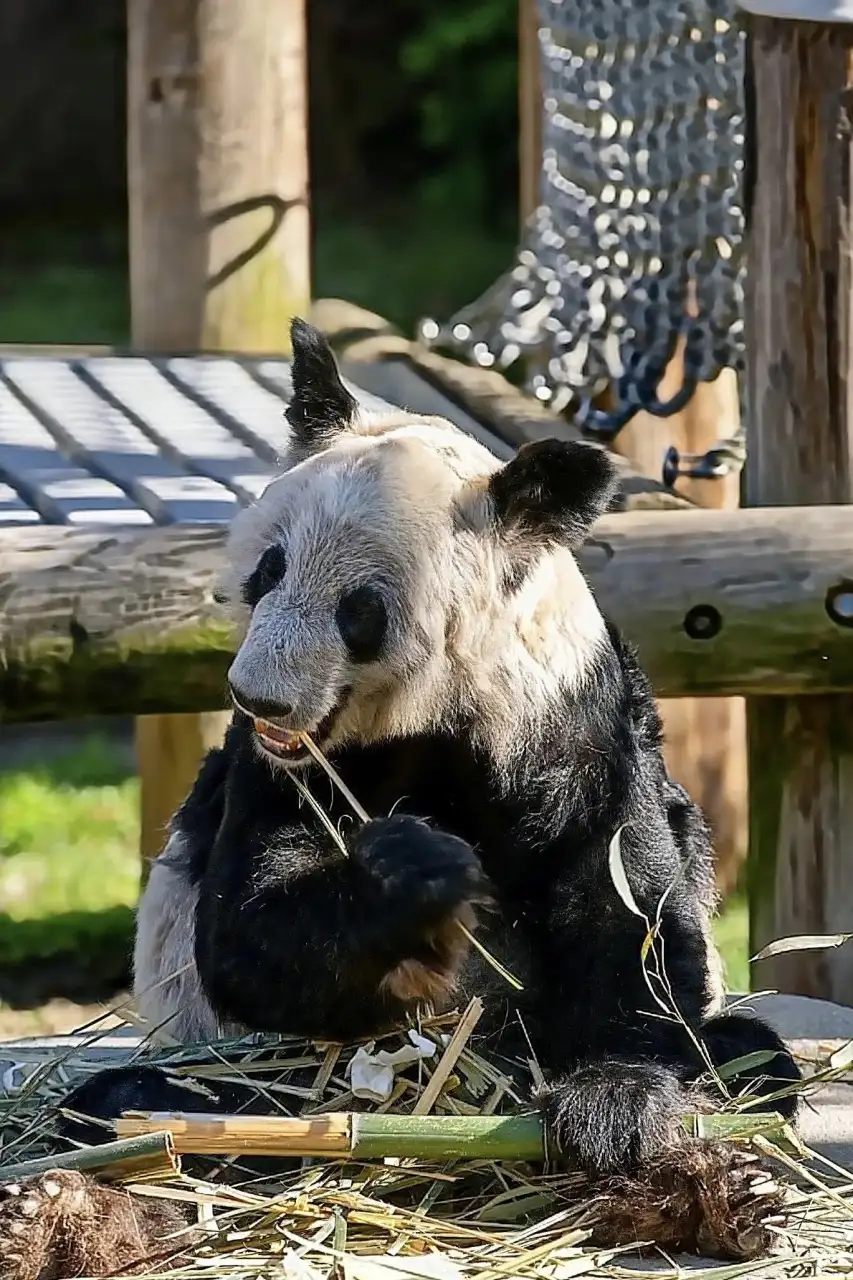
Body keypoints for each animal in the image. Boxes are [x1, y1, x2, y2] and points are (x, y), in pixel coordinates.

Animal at [59, 320, 799, 1177]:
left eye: (358, 609)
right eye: (269, 569)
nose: (260, 697)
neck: (437, 708)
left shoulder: (575, 719)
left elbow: (627, 917)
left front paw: (614, 1107)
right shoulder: (289, 767)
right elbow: (251, 931)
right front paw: (422, 868)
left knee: (752, 1053)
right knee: (154, 1098)